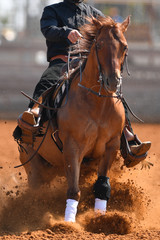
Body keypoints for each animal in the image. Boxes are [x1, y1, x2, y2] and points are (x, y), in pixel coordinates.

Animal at [15, 15, 130, 223]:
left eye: (124, 46)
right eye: (99, 44)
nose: (112, 81)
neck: (98, 105)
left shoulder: (111, 145)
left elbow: (102, 186)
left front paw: (100, 219)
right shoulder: (72, 147)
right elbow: (73, 190)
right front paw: (68, 224)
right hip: (33, 168)